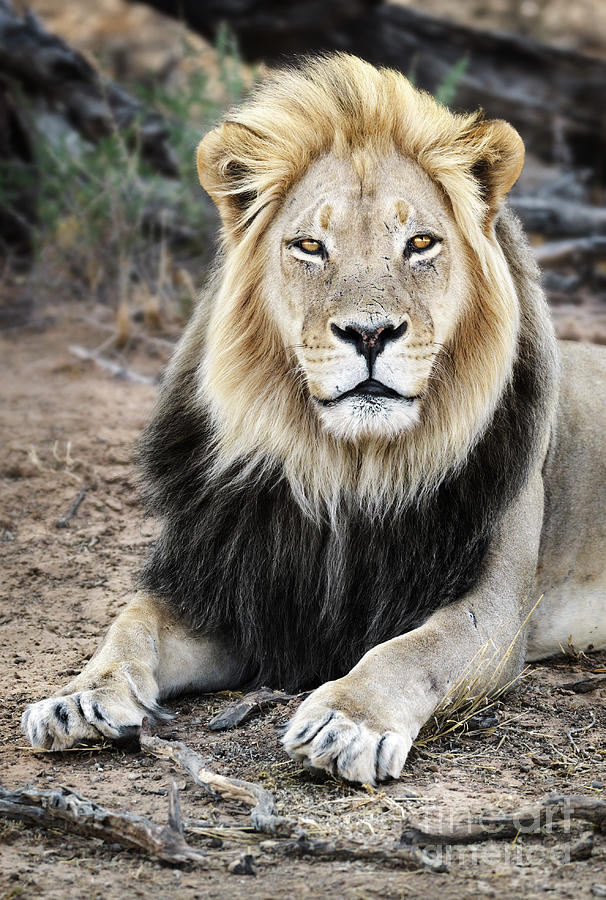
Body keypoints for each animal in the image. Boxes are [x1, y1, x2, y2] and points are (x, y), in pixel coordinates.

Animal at [21, 54, 606, 780]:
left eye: (420, 243)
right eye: (309, 246)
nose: (369, 333)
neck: (343, 466)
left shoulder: (495, 607)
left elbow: (409, 650)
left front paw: (347, 721)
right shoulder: (229, 587)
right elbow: (130, 624)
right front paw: (79, 697)